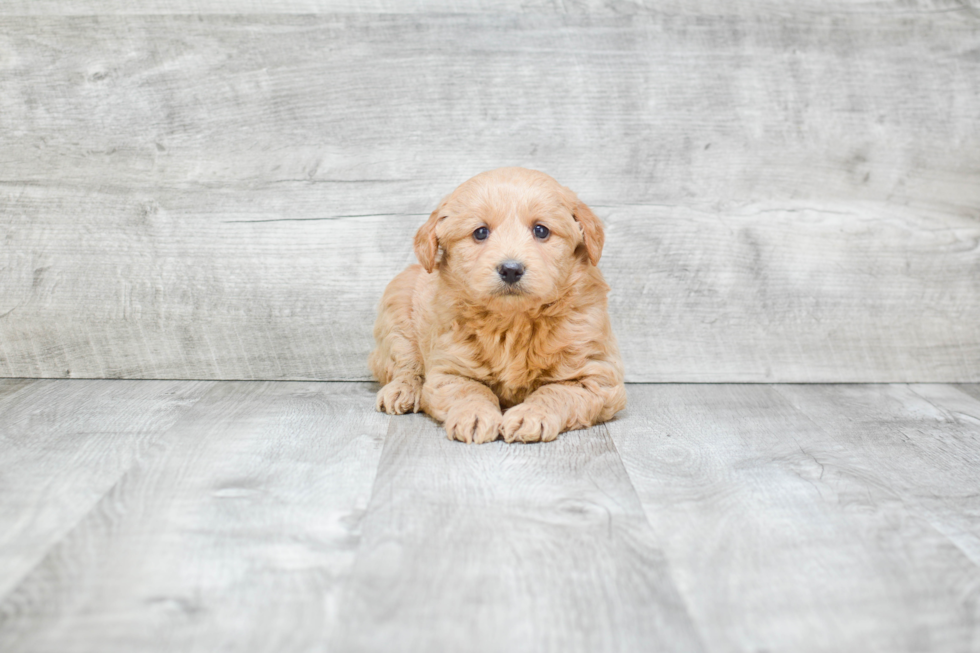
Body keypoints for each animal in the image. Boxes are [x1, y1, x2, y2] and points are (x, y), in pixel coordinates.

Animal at [368, 168, 628, 444]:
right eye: (480, 232)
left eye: (541, 230)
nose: (511, 269)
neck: (513, 322)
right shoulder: (449, 370)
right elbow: (471, 390)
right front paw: (474, 415)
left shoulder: (596, 374)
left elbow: (556, 392)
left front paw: (530, 415)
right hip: (397, 315)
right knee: (406, 365)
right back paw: (402, 390)